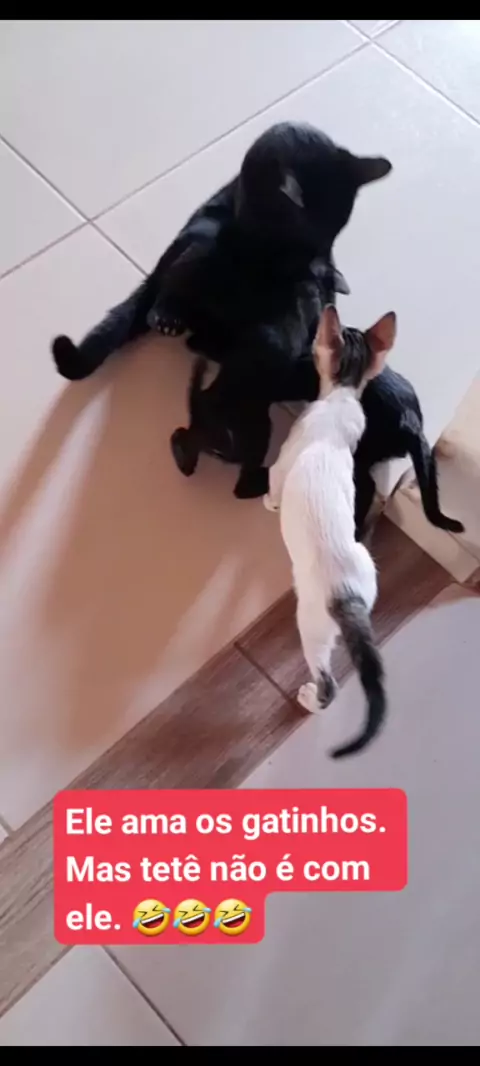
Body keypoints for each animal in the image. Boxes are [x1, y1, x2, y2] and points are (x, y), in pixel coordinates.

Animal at [263, 304, 397, 759]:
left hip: (311, 624)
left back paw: (308, 697)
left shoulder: (282, 462)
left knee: (329, 683)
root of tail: (349, 596)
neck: (340, 398)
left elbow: (273, 482)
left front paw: (268, 503)